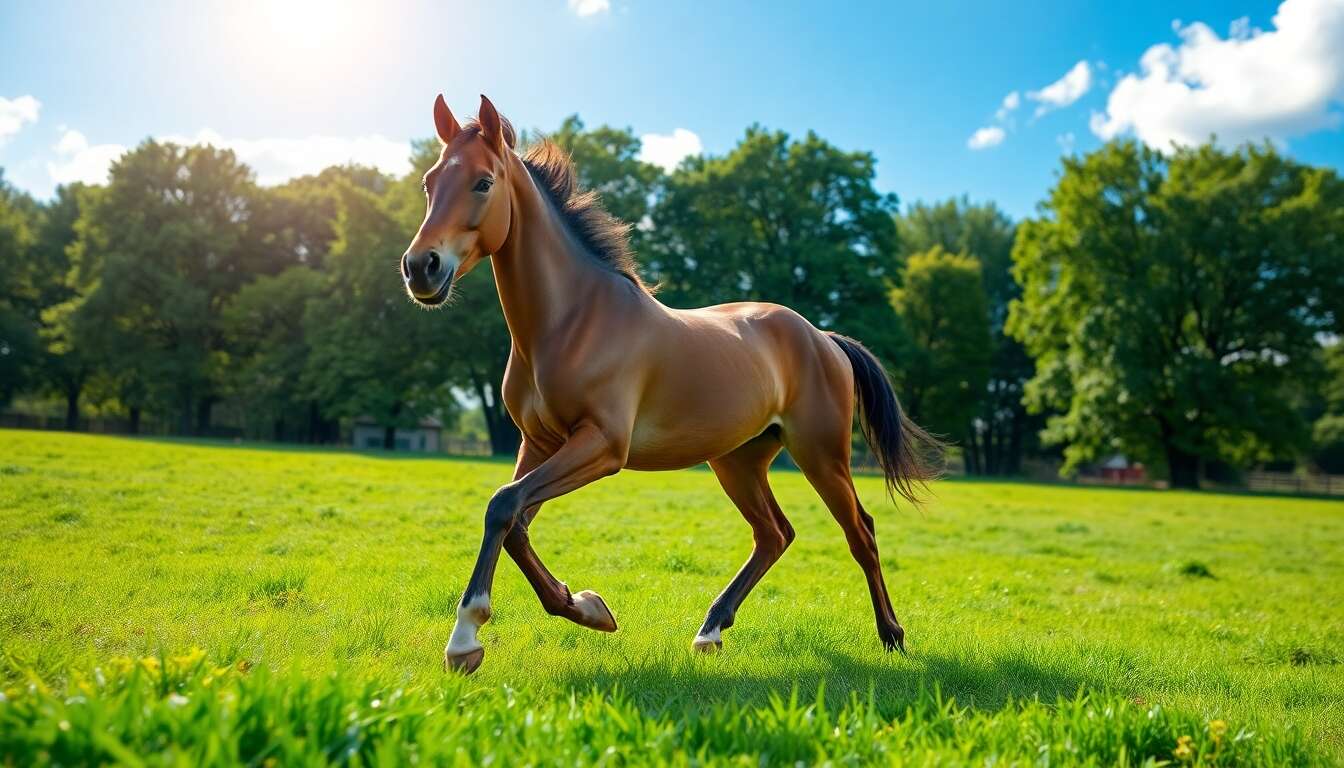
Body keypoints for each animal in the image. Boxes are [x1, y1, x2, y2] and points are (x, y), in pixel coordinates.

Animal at [401, 94, 943, 674]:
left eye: (483, 182)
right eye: (430, 182)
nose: (420, 267)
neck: (573, 320)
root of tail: (823, 338)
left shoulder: (602, 445)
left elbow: (503, 505)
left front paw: (466, 637)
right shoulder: (539, 443)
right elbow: (514, 520)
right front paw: (587, 607)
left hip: (821, 454)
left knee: (860, 532)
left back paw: (892, 635)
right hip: (738, 460)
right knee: (774, 534)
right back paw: (711, 631)